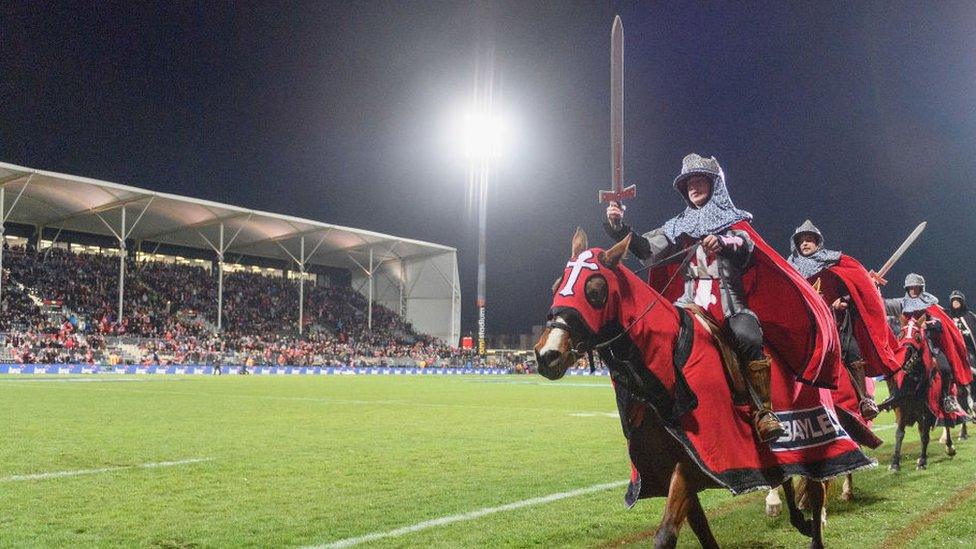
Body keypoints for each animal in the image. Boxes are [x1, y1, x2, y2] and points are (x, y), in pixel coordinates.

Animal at [532, 229, 860, 544]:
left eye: (595, 289)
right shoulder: (674, 468)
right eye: (556, 285)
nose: (548, 355)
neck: (665, 367)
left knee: (817, 490)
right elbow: (699, 532)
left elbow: (665, 534)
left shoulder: (693, 464)